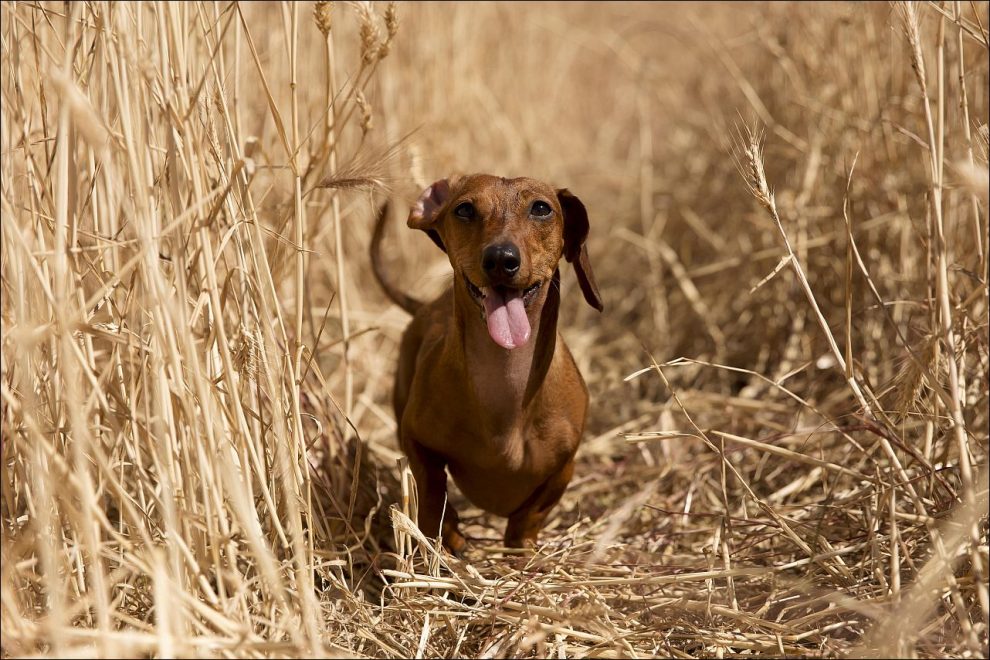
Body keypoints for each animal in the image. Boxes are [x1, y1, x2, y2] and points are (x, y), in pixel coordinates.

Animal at [374, 173, 600, 548]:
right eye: (465, 209)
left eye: (541, 208)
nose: (500, 259)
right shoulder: (416, 440)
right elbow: (433, 491)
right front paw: (448, 537)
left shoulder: (563, 466)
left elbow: (530, 514)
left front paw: (521, 548)